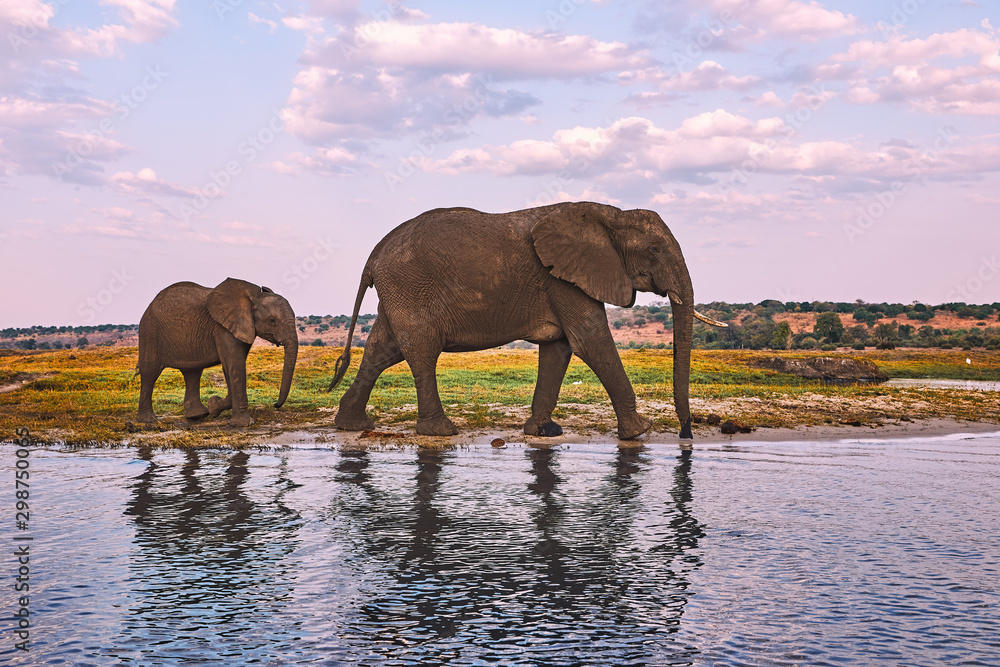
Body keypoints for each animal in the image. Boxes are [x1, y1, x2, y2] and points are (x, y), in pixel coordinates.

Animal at [137, 278, 298, 427]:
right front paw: (243, 423)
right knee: (150, 372)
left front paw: (213, 407)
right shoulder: (222, 328)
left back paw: (197, 415)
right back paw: (149, 420)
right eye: (272, 321)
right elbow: (234, 364)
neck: (252, 297)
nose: (275, 404)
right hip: (150, 332)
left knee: (192, 372)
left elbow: (231, 366)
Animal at [328, 202, 725, 440]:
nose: (686, 435)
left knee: (383, 350)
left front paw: (543, 432)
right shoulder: (562, 279)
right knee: (421, 352)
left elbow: (559, 348)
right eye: (654, 250)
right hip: (410, 287)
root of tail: (373, 255)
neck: (610, 214)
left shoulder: (562, 279)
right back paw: (441, 432)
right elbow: (590, 341)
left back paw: (352, 425)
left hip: (398, 293)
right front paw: (640, 431)